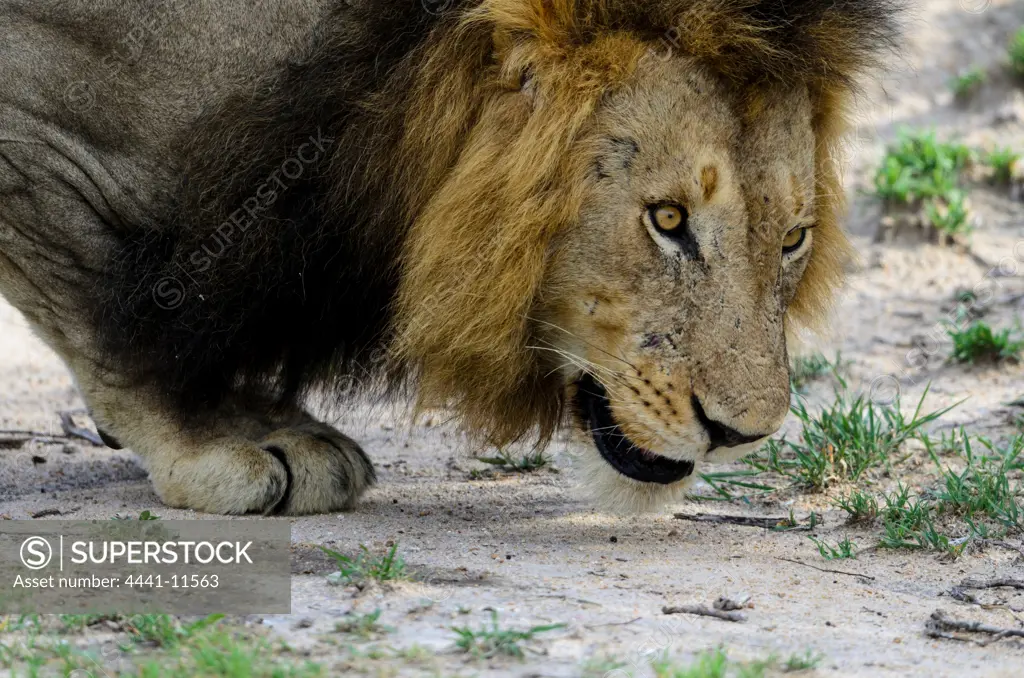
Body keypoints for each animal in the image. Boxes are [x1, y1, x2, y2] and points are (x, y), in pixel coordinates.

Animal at [0, 0, 897, 516]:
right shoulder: (33, 129)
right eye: (668, 219)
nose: (741, 435)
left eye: (793, 238)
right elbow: (106, 302)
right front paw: (214, 439)